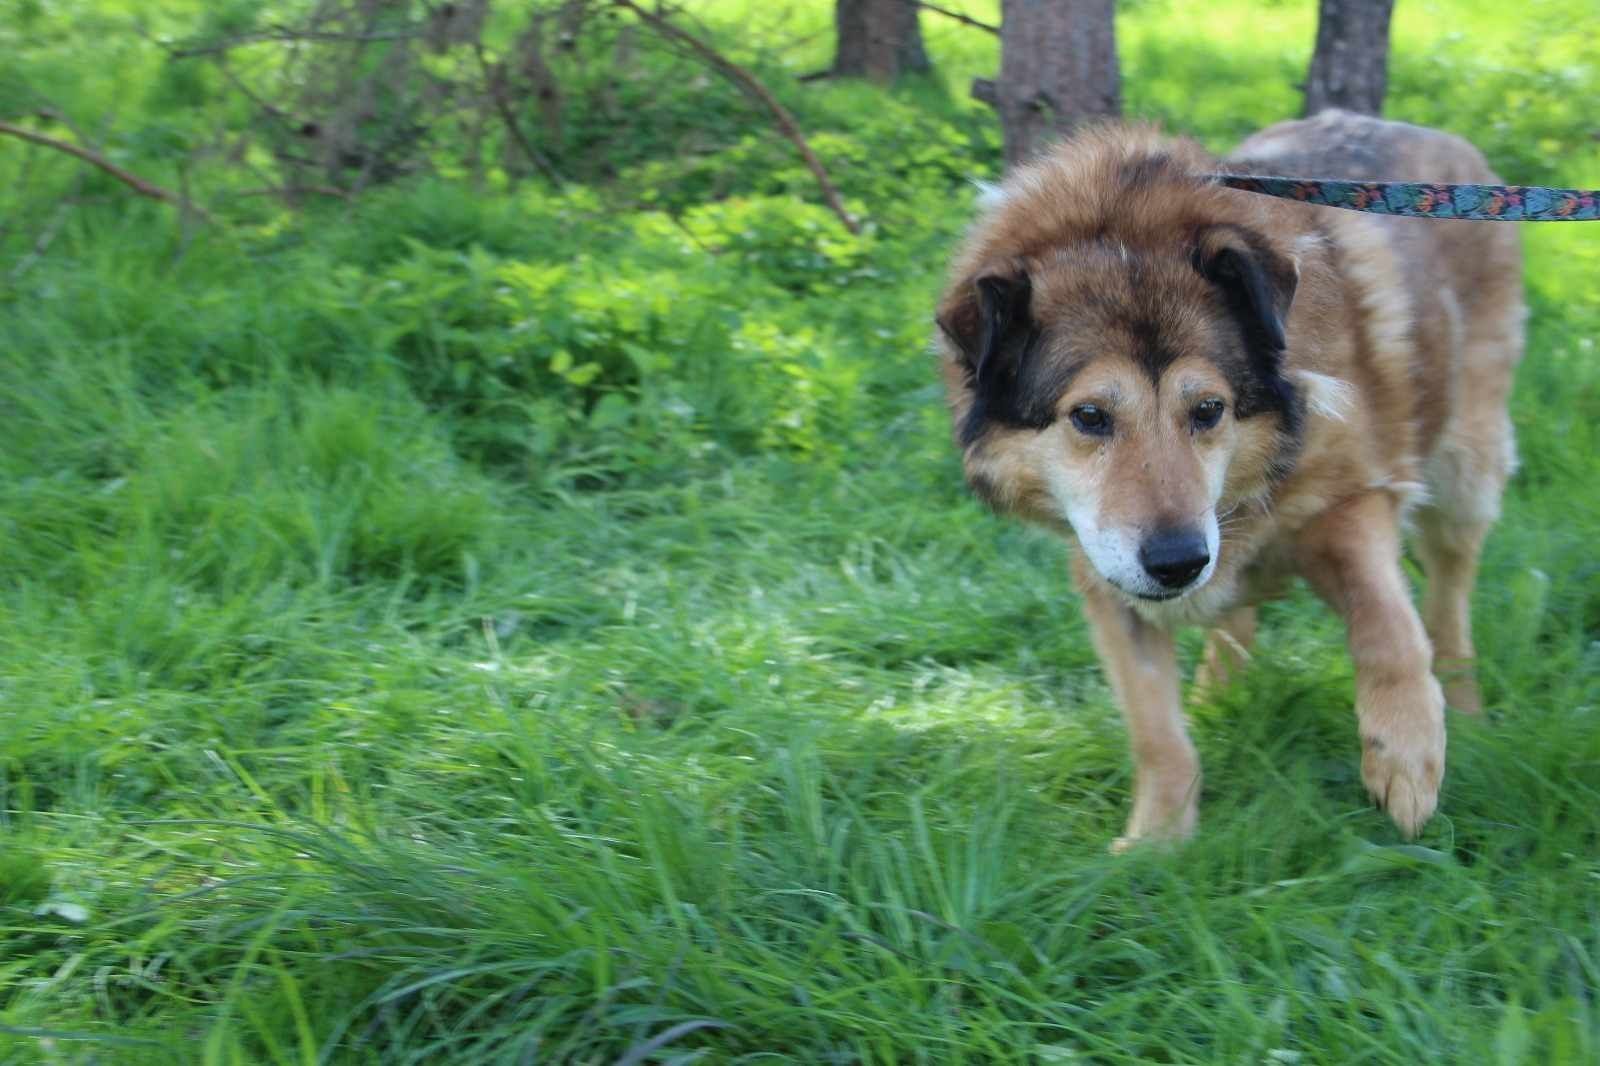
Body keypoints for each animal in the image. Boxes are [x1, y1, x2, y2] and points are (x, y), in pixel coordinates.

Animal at [934, 109, 1523, 845]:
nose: (1178, 563)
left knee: (1447, 603)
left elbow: (1388, 624)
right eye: (1090, 416)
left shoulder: (1353, 498)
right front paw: (1157, 841)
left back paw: (1466, 708)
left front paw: (1406, 753)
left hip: (1465, 470)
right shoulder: (1104, 577)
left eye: (1208, 409)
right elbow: (1157, 731)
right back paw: (1220, 695)